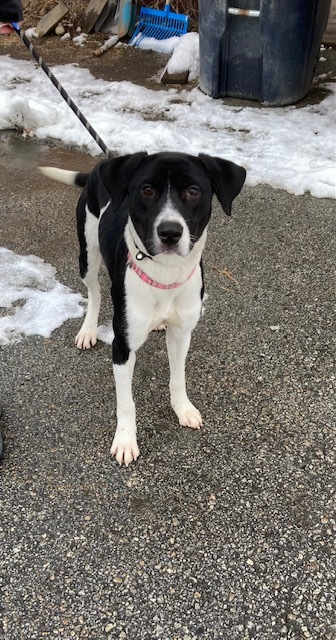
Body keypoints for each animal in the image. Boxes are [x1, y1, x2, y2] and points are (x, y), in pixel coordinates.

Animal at [40, 154, 247, 464]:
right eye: (147, 190)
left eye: (193, 191)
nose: (170, 232)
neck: (166, 274)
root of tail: (100, 166)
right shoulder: (122, 347)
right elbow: (126, 403)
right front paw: (126, 441)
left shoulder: (182, 335)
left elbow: (178, 379)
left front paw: (183, 409)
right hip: (87, 254)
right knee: (95, 292)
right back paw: (88, 330)